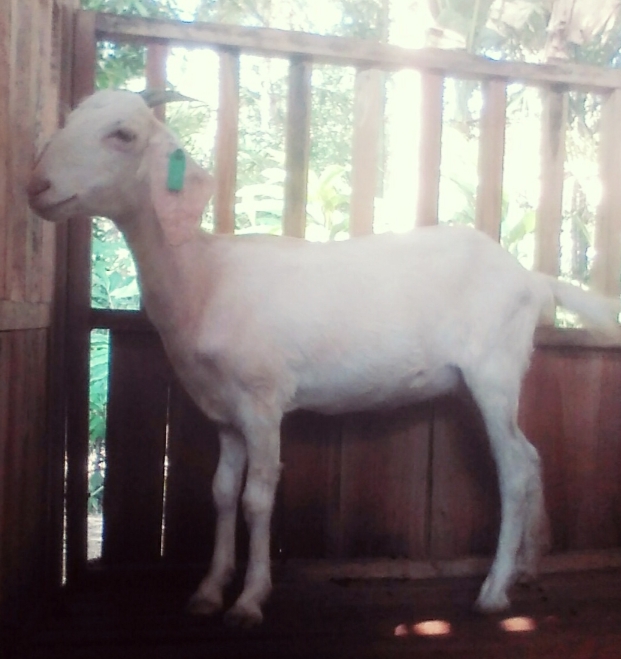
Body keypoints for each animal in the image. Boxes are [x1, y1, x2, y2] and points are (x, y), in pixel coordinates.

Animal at [28, 89, 621, 627]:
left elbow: (257, 498)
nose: (36, 186)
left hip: (493, 373)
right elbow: (221, 494)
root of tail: (531, 278)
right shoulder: (224, 412)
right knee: (532, 457)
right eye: (71, 119)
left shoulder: (263, 400)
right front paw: (208, 591)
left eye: (123, 134)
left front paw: (249, 600)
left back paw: (494, 591)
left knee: (515, 468)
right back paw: (527, 565)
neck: (205, 275)